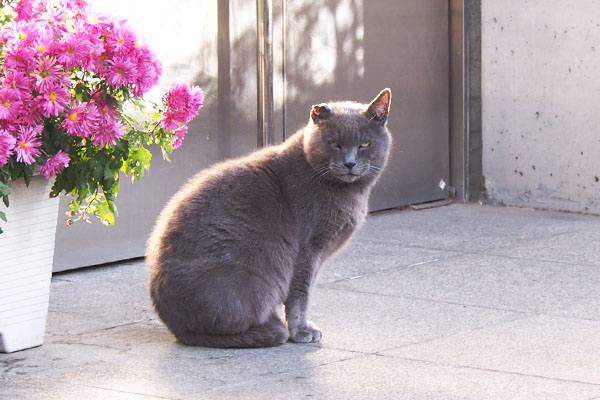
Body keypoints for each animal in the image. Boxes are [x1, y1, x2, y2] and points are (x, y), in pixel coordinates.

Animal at [147, 87, 392, 346]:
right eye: (334, 144)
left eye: (365, 143)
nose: (350, 163)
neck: (347, 192)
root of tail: (175, 325)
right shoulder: (307, 249)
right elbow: (300, 295)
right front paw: (301, 331)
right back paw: (271, 330)